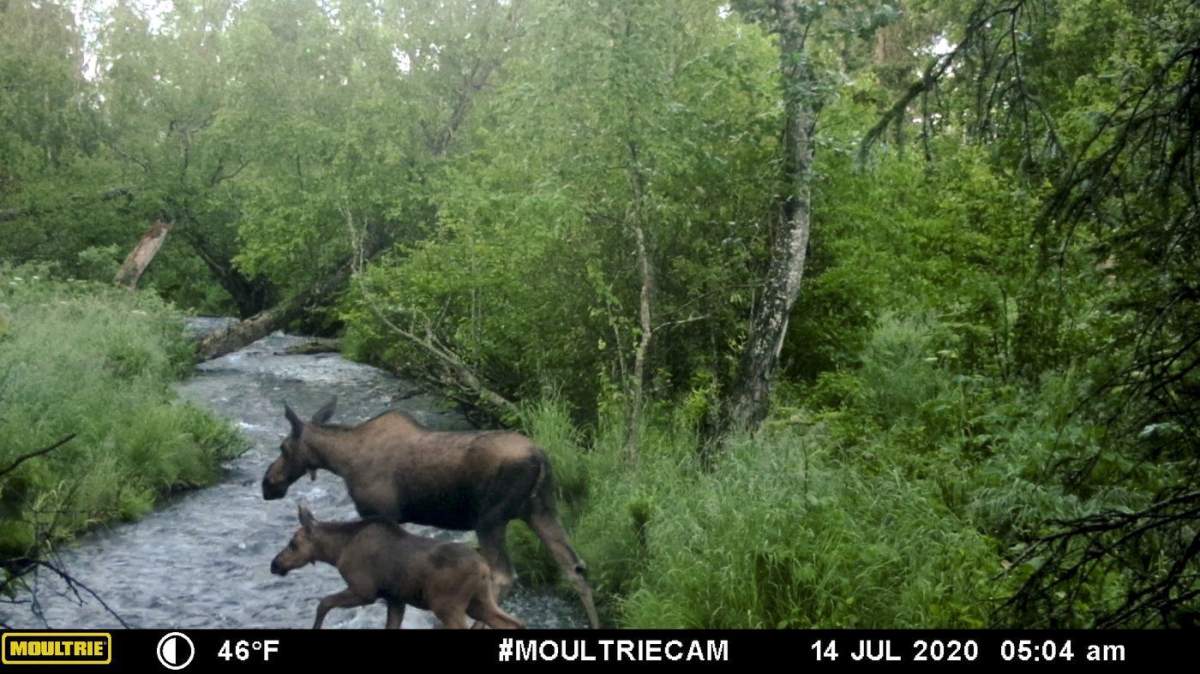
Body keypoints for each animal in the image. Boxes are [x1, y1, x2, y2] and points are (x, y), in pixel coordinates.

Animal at [270, 505, 524, 629]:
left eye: (293, 544)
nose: (274, 564)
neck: (337, 550)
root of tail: (484, 568)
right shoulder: (395, 599)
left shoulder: (365, 591)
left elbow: (323, 603)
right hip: (479, 602)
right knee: (513, 623)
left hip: (447, 605)